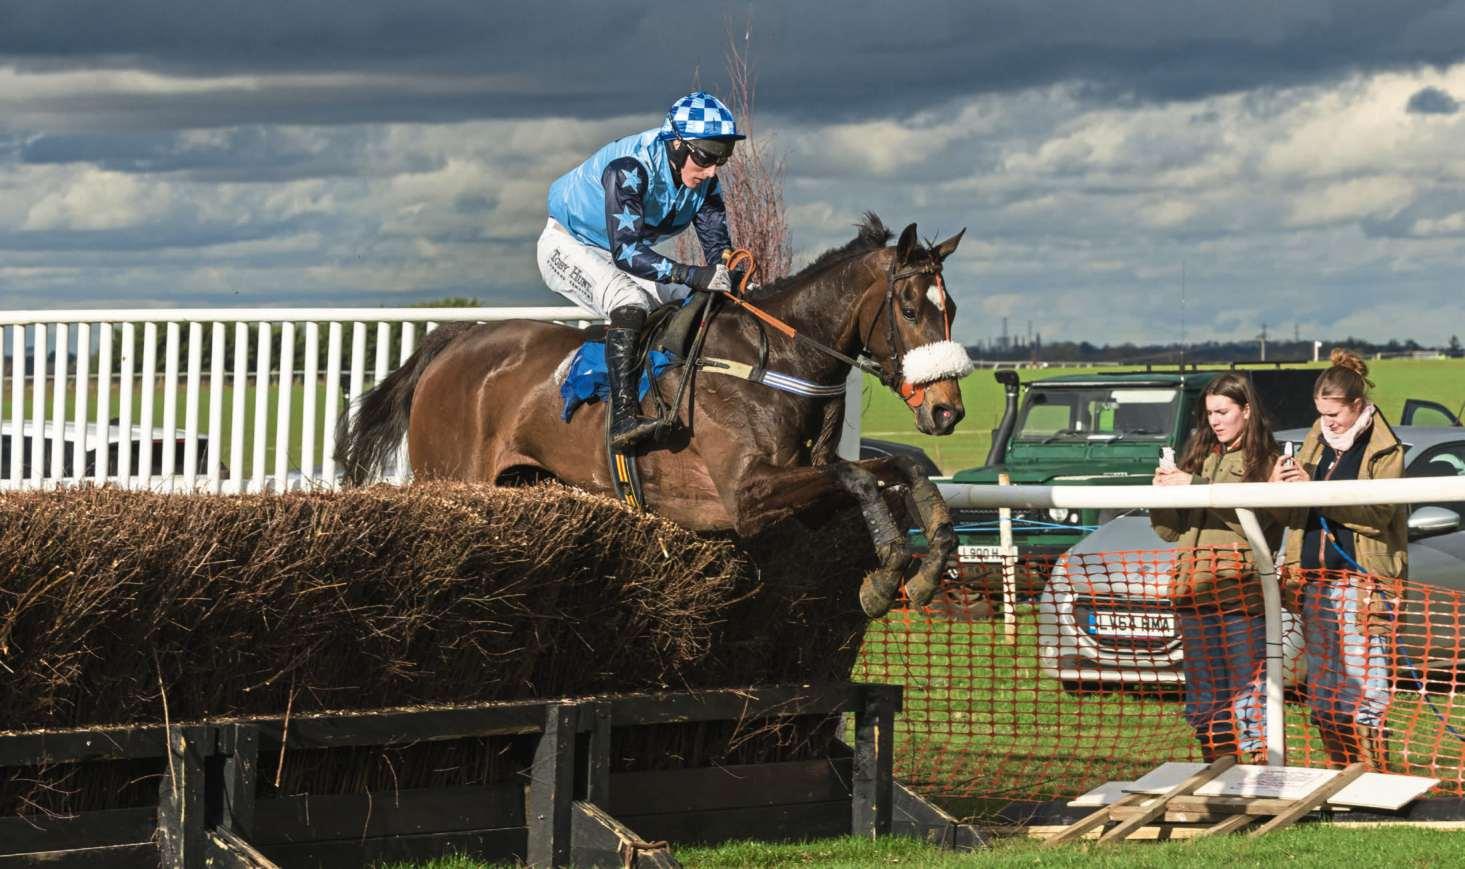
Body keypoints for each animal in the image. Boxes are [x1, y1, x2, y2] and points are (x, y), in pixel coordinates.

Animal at [336, 214, 969, 617]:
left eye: (953, 308)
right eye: (909, 308)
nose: (947, 411)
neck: (778, 359)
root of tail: (456, 338)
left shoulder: (806, 491)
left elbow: (900, 466)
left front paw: (930, 563)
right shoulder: (745, 496)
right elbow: (859, 475)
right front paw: (886, 575)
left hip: (524, 481)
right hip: (451, 474)